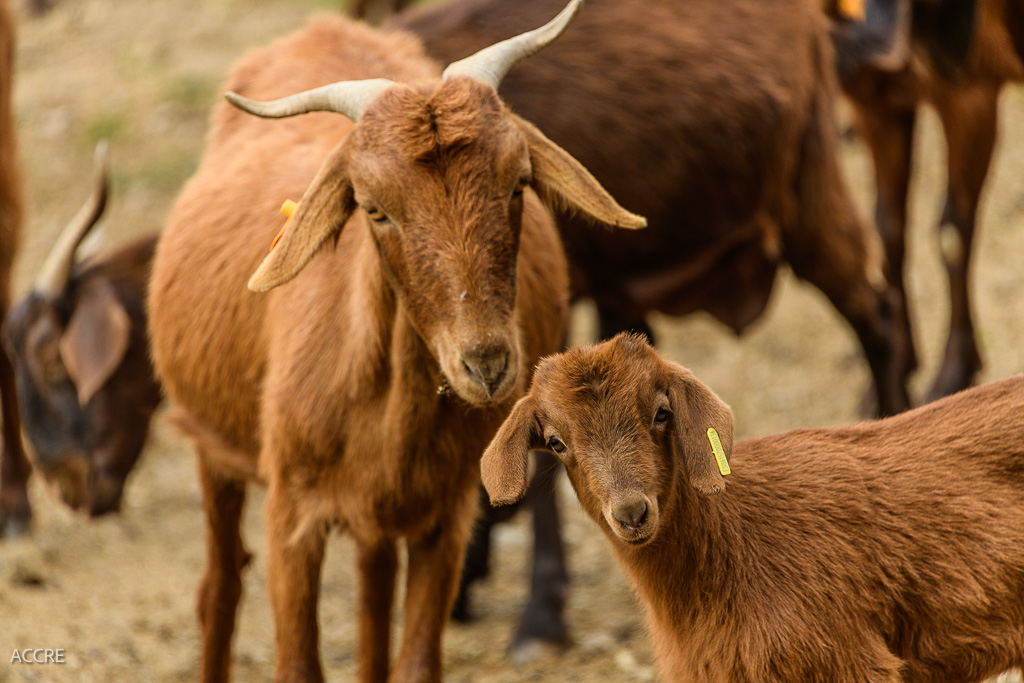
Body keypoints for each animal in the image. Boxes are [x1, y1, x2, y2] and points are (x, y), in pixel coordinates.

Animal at [149, 2, 643, 679]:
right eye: (374, 208)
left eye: (518, 183)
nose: (486, 364)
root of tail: (323, 28)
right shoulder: (291, 515)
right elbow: (297, 662)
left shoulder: (446, 514)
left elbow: (413, 661)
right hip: (213, 448)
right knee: (220, 586)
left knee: (372, 609)